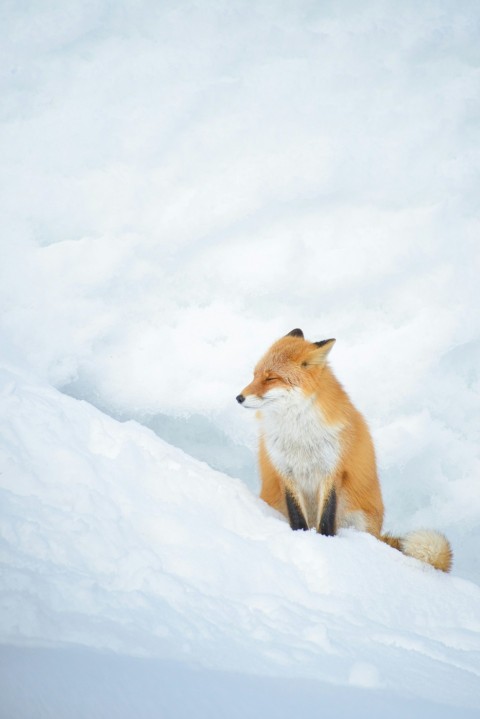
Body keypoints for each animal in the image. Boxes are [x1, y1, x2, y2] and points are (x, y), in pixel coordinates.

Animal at [236, 328, 452, 572]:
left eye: (270, 378)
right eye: (254, 375)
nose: (239, 397)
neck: (299, 434)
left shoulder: (332, 469)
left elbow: (326, 519)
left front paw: (327, 545)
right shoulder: (285, 471)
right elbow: (297, 518)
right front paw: (302, 538)